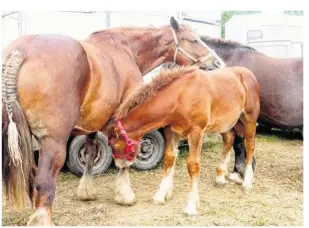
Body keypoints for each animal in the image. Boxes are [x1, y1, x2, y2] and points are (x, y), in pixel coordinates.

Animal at [1, 16, 224, 225]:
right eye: (194, 39)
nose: (218, 63)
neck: (127, 49)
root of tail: (21, 52)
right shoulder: (128, 124)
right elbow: (125, 157)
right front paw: (125, 195)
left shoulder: (92, 122)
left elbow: (91, 152)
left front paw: (87, 191)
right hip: (53, 142)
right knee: (44, 180)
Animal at [106, 65, 260, 216]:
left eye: (113, 145)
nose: (119, 165)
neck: (180, 96)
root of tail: (248, 73)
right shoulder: (171, 131)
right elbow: (169, 158)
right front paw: (160, 196)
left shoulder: (196, 132)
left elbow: (193, 166)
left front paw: (191, 206)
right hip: (224, 123)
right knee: (229, 138)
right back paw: (220, 178)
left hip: (249, 120)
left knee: (249, 145)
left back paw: (247, 182)